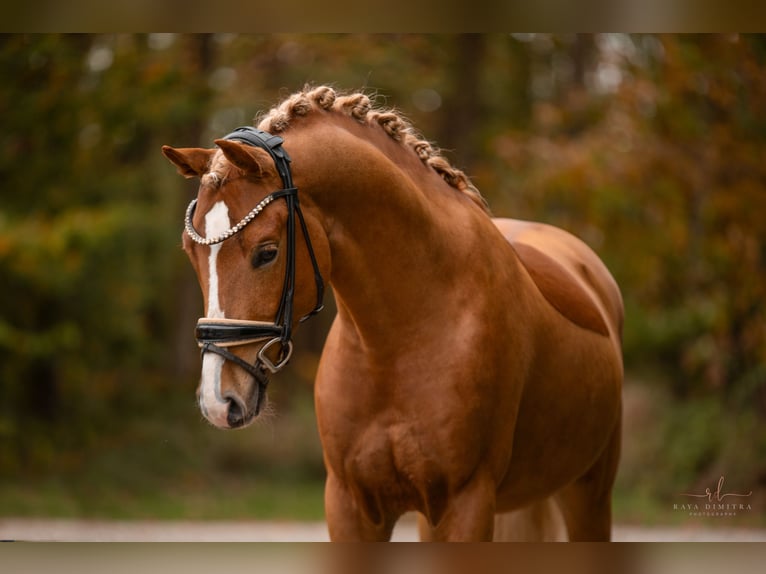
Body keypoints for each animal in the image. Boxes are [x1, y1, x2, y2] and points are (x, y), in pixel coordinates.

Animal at [162, 84, 624, 540]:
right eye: (190, 253)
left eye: (267, 252)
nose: (219, 401)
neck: (398, 340)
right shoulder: (351, 506)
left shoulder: (467, 503)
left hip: (589, 494)